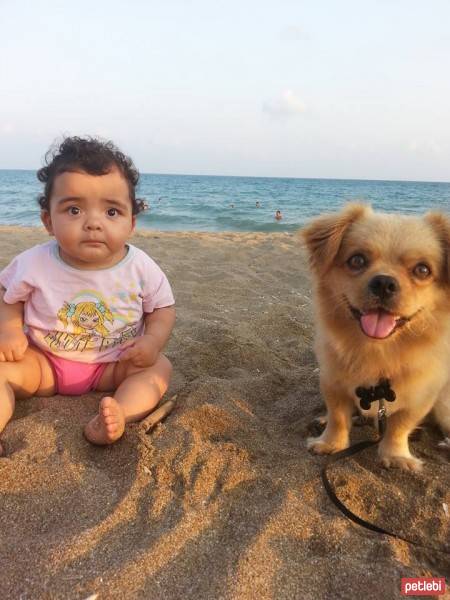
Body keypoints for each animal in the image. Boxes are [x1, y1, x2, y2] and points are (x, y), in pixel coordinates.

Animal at [300, 204, 450, 472]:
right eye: (357, 260)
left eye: (422, 270)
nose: (384, 282)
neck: (376, 350)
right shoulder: (332, 382)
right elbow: (338, 417)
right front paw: (331, 444)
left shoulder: (420, 397)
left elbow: (399, 426)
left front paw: (396, 456)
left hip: (444, 408)